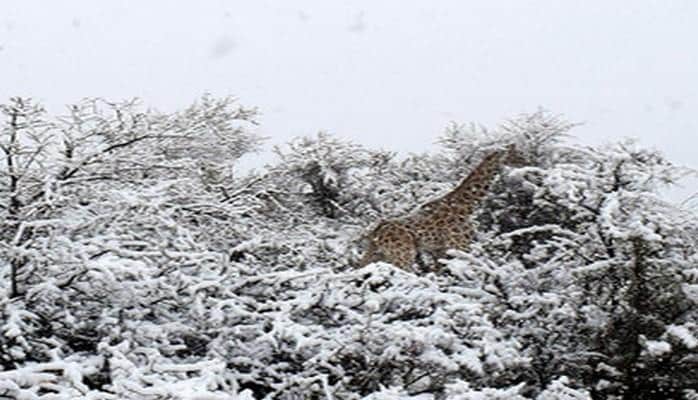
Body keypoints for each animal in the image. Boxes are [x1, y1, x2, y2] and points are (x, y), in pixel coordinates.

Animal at [358, 145, 516, 270]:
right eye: (516, 153)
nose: (521, 163)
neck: (467, 206)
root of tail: (376, 232)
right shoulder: (459, 244)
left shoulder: (438, 250)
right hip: (403, 254)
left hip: (380, 254)